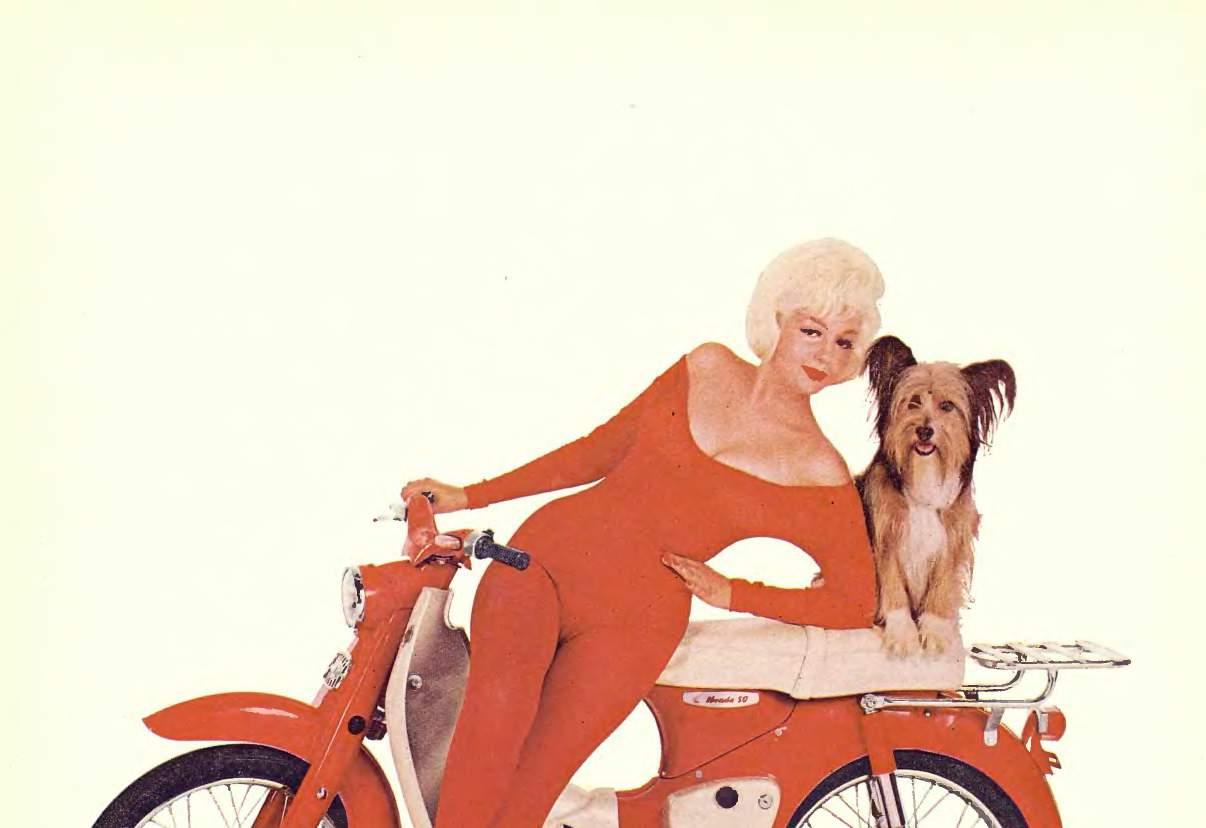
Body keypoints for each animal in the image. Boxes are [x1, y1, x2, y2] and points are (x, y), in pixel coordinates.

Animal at [856, 336, 1015, 656]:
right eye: (913, 402)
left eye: (947, 406)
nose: (924, 431)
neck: (924, 473)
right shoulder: (886, 536)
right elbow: (893, 586)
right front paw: (903, 634)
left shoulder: (953, 538)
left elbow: (942, 586)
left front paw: (935, 632)